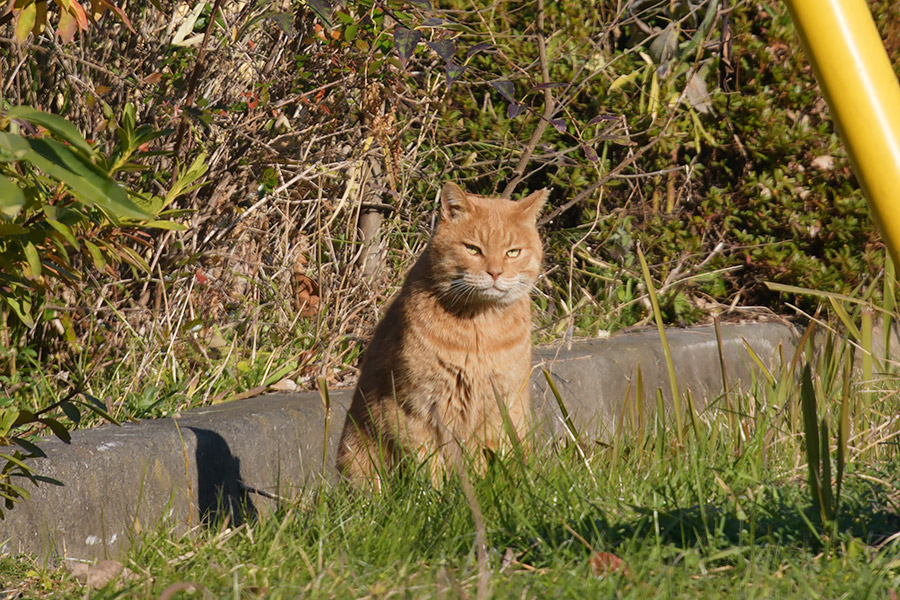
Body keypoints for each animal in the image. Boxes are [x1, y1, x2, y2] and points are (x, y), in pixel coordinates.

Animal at [340, 182, 544, 488]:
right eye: (473, 249)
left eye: (513, 252)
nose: (495, 272)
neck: (480, 332)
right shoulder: (414, 407)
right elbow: (429, 468)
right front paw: (440, 494)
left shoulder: (497, 407)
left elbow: (479, 462)